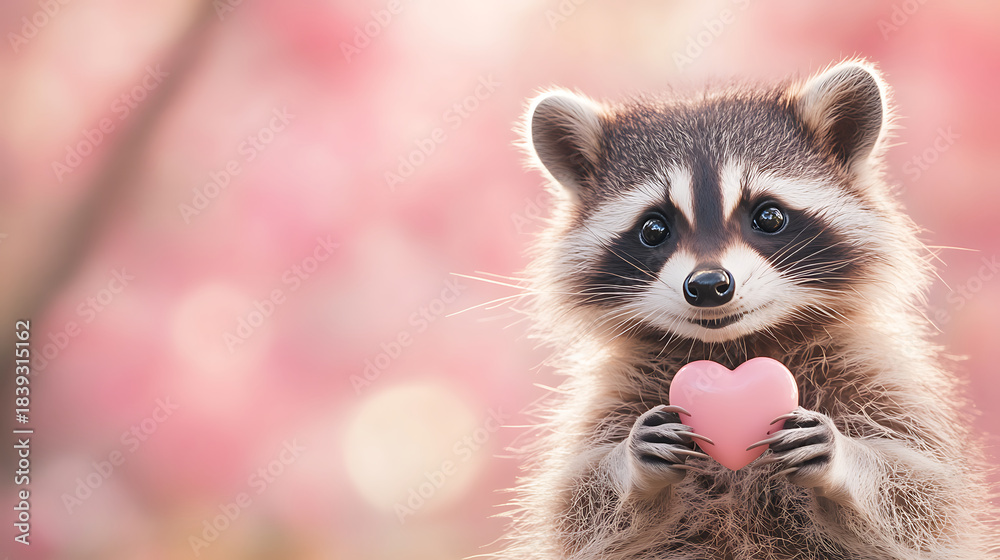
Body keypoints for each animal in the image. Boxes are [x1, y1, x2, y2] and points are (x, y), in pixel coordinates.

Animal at [498, 60, 998, 559]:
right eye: (654, 229)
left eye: (768, 217)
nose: (708, 286)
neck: (733, 346)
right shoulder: (612, 397)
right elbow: (572, 509)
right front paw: (629, 468)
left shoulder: (878, 376)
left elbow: (926, 498)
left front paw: (846, 460)